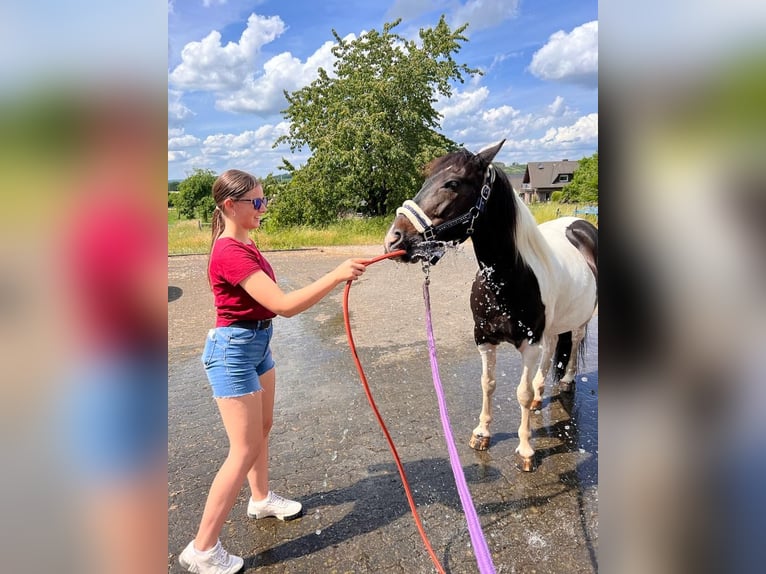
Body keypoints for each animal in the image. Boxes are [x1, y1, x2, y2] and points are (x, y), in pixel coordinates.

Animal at [384, 141, 600, 472]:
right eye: (426, 179)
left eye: (452, 183)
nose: (393, 239)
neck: (508, 278)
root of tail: (581, 227)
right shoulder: (484, 339)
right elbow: (488, 384)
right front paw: (482, 433)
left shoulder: (529, 344)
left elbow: (521, 393)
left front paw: (526, 449)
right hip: (551, 327)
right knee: (552, 348)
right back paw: (541, 393)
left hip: (580, 319)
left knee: (573, 342)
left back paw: (566, 381)